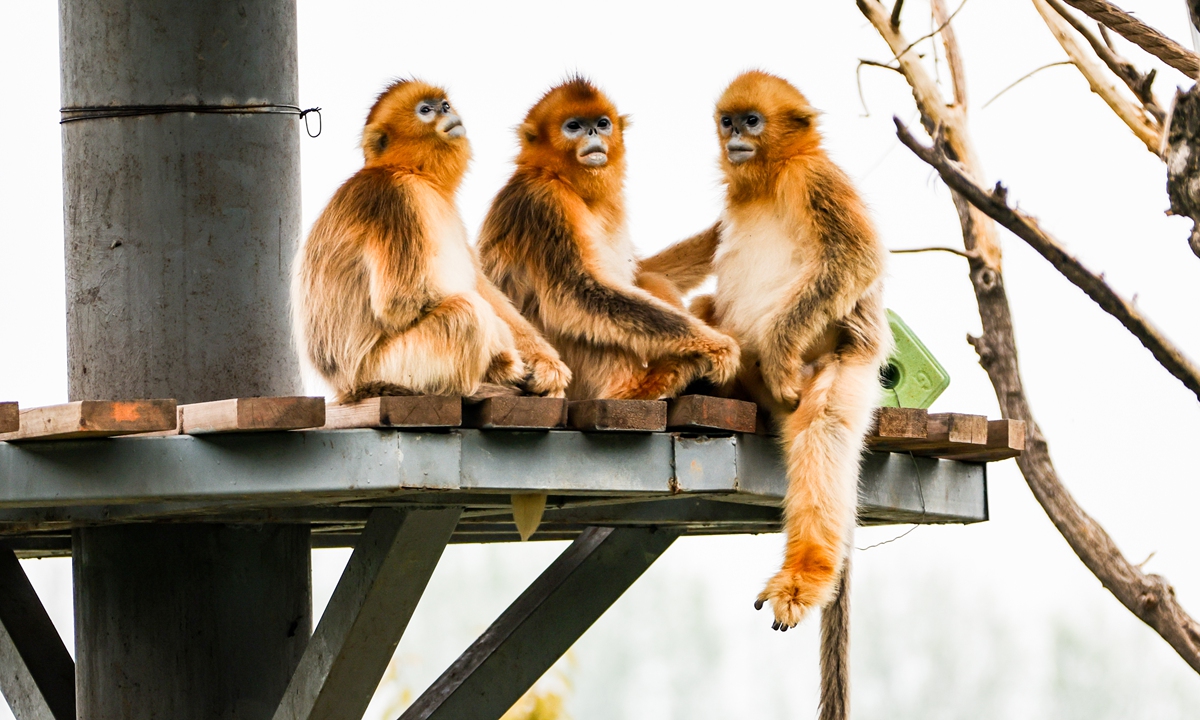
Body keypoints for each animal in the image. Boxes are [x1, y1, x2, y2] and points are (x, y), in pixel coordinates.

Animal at [291, 82, 571, 405]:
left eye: (445, 105)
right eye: (425, 110)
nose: (447, 112)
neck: (415, 174)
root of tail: (347, 388)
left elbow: (482, 288)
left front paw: (546, 365)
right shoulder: (395, 199)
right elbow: (401, 301)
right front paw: (503, 361)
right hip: (389, 365)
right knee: (466, 313)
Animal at [475, 81, 734, 403]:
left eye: (602, 123)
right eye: (573, 126)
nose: (592, 133)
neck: (562, 179)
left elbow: (640, 270)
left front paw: (719, 232)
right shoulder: (544, 200)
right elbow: (578, 293)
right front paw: (717, 346)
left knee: (646, 279)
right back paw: (640, 388)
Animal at [691, 70, 888, 628]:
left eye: (752, 121)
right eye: (728, 121)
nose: (735, 136)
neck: (767, 178)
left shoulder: (814, 176)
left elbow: (857, 257)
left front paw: (778, 359)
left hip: (842, 366)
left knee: (823, 429)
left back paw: (803, 576)